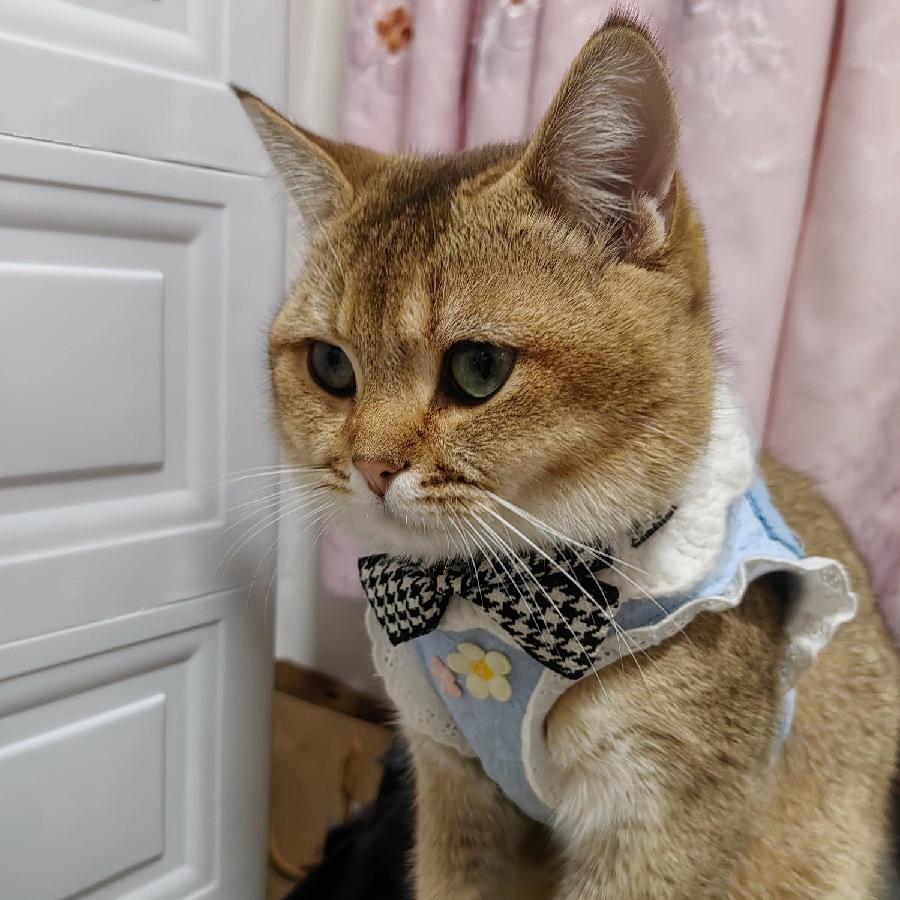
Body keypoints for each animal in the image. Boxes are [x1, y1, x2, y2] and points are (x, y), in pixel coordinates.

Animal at [239, 14, 900, 899]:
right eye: (330, 367)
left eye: (479, 368)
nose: (371, 466)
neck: (485, 610)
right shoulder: (449, 785)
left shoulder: (658, 826)